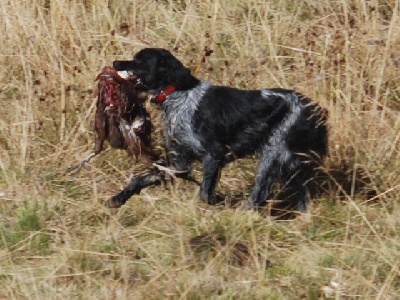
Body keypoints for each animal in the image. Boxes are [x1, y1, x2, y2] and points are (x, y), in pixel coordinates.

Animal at [112, 47, 328, 211]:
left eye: (139, 60)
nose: (115, 63)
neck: (177, 96)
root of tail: (316, 111)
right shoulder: (180, 162)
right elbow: (145, 177)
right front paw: (120, 197)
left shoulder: (214, 154)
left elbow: (204, 193)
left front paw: (221, 201)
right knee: (301, 198)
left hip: (273, 154)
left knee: (258, 196)